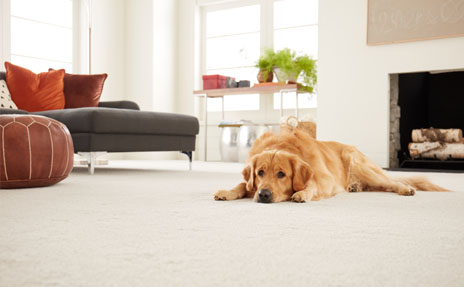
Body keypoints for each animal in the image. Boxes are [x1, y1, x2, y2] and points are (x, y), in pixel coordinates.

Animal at [213, 129, 446, 204]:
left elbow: (311, 185)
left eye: (282, 174)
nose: (263, 195)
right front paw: (226, 192)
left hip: (358, 164)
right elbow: (242, 185)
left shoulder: (325, 180)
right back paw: (355, 187)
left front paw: (301, 193)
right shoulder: (251, 182)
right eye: (260, 172)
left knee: (390, 182)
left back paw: (406, 188)